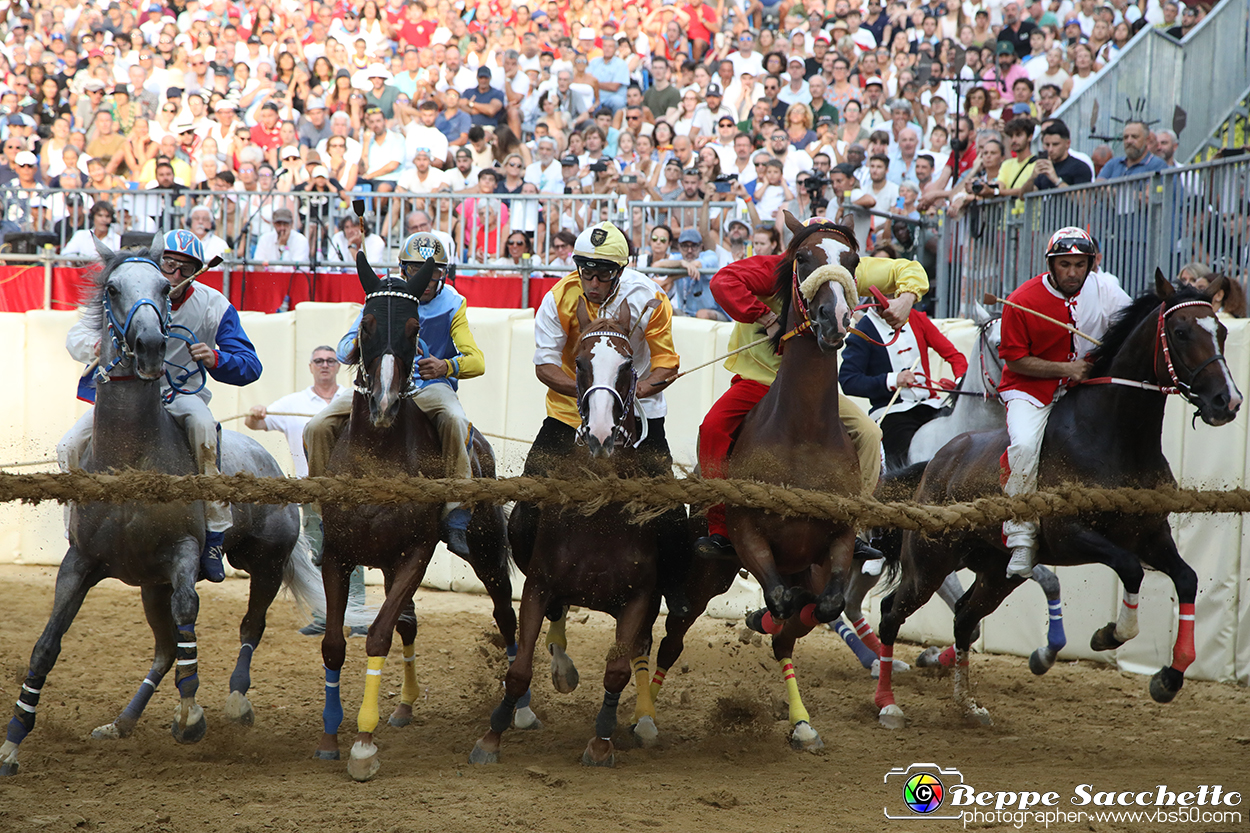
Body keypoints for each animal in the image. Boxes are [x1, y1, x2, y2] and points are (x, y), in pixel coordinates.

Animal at [1, 231, 322, 770]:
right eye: (112, 288)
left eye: (163, 289)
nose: (151, 346)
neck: (133, 458)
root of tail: (270, 463)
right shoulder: (80, 562)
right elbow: (47, 644)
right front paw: (13, 739)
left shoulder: (183, 555)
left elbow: (189, 613)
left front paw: (190, 714)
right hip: (151, 585)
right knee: (164, 650)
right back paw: (121, 722)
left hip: (266, 563)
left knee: (249, 627)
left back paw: (236, 700)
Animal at [320, 255, 520, 780]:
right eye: (366, 325)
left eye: (413, 329)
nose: (385, 403)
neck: (378, 455)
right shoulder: (337, 553)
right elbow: (335, 643)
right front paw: (331, 734)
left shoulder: (416, 552)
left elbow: (378, 636)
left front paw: (363, 744)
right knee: (409, 622)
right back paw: (406, 704)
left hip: (487, 549)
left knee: (506, 615)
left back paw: (520, 709)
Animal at [470, 298, 665, 765]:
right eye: (580, 363)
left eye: (627, 365)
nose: (601, 433)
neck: (599, 518)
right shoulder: (538, 584)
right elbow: (519, 668)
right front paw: (491, 737)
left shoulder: (640, 597)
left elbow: (617, 670)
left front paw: (602, 740)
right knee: (558, 619)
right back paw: (563, 670)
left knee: (640, 651)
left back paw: (645, 723)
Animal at [875, 272, 1245, 725]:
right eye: (1180, 332)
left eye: (1221, 331)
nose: (1226, 401)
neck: (1114, 439)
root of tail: (937, 461)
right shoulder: (1072, 535)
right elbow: (1129, 570)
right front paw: (1109, 635)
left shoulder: (1152, 537)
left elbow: (1187, 579)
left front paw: (1169, 678)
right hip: (929, 564)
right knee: (891, 612)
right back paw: (887, 702)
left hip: (996, 572)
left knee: (964, 617)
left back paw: (967, 704)